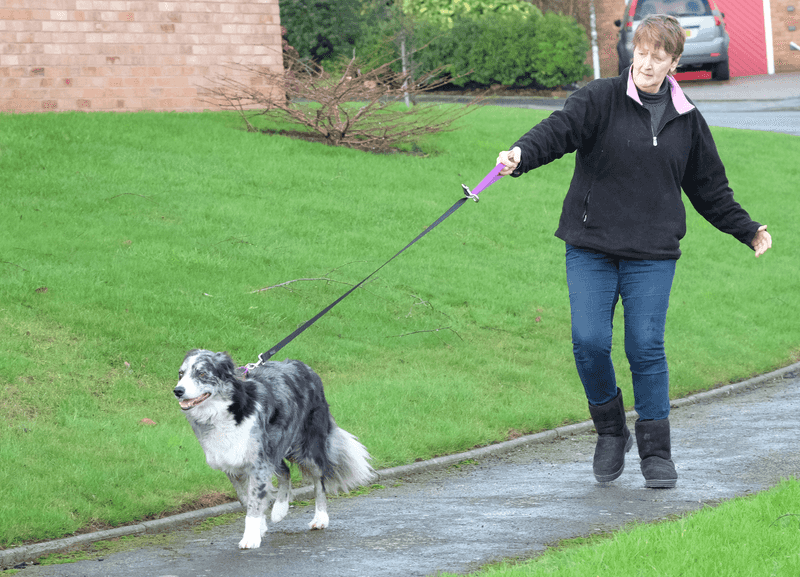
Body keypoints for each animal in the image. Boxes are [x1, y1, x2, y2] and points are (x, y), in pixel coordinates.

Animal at [173, 348, 374, 548]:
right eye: (181, 374)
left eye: (202, 373)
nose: (178, 391)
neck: (224, 411)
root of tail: (305, 367)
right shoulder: (233, 465)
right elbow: (246, 499)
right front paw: (259, 527)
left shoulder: (258, 462)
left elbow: (254, 502)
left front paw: (251, 537)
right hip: (276, 444)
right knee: (285, 471)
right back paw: (280, 509)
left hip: (306, 447)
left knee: (319, 481)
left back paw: (320, 518)